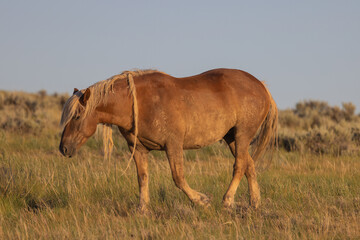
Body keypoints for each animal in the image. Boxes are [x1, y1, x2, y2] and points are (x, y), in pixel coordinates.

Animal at [59, 68, 278, 212]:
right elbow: (142, 178)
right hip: (232, 137)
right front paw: (142, 209)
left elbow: (178, 178)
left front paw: (201, 200)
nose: (64, 148)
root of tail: (261, 86)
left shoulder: (173, 145)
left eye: (76, 116)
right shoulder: (138, 149)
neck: (138, 103)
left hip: (242, 135)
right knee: (249, 165)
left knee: (239, 166)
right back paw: (254, 203)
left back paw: (228, 200)